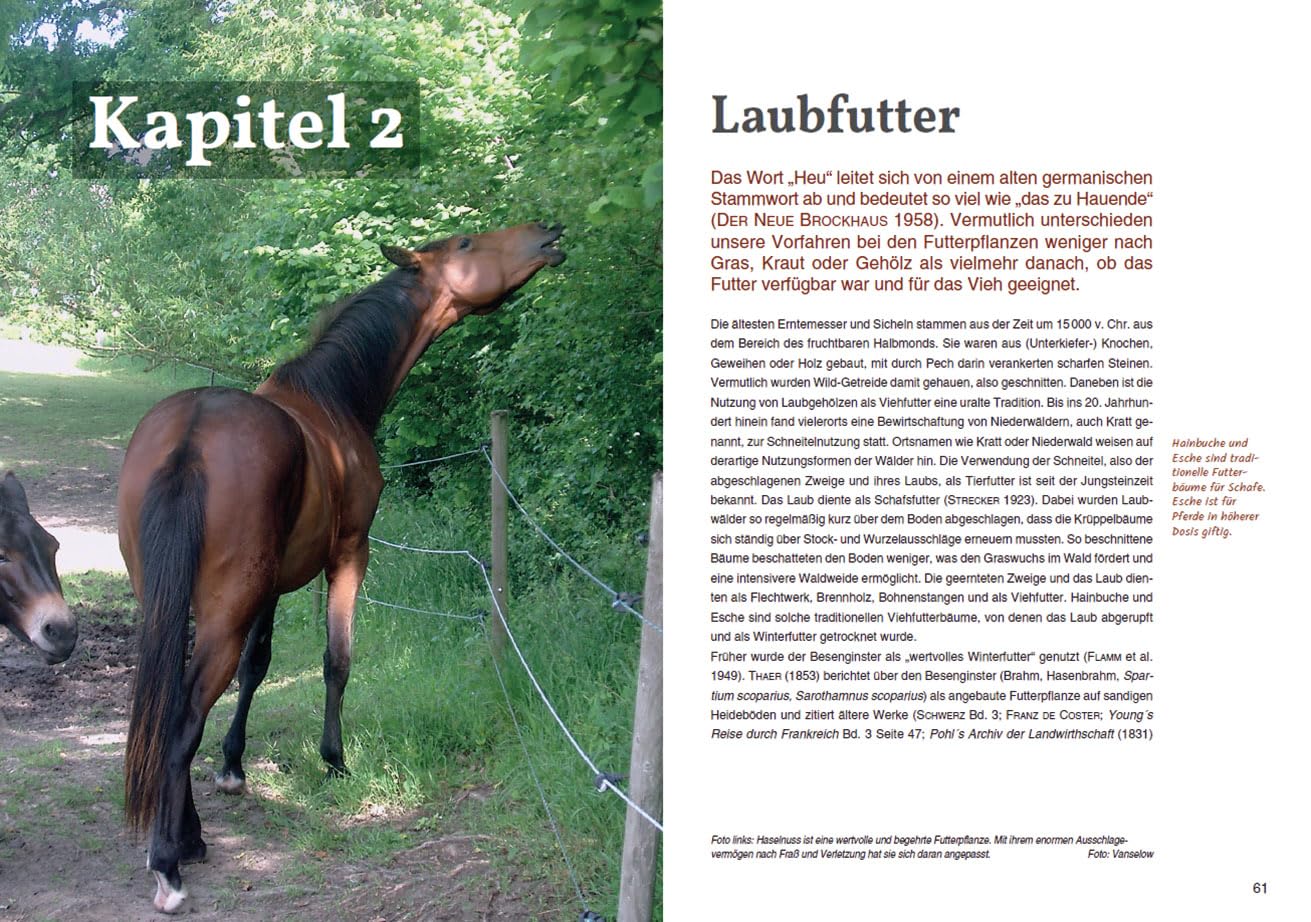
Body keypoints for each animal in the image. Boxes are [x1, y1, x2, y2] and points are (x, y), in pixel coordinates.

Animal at [116, 221, 565, 913]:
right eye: (465, 244)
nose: (547, 233)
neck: (331, 399)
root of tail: (190, 434)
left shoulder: (272, 587)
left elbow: (257, 667)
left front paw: (234, 767)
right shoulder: (350, 554)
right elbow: (337, 660)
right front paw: (334, 761)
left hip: (175, 603)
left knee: (173, 705)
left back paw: (187, 838)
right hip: (225, 611)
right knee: (184, 717)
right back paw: (170, 860)